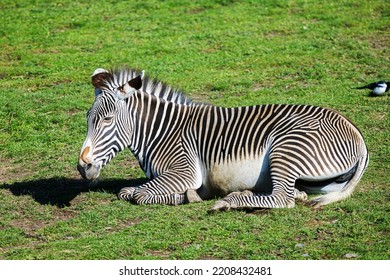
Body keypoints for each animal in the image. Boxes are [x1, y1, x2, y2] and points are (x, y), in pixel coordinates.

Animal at [77, 66, 370, 210]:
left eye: (107, 120)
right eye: (88, 118)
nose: (83, 167)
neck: (162, 131)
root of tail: (355, 131)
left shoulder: (185, 171)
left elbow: (136, 194)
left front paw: (188, 197)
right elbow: (128, 191)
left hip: (286, 147)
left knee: (281, 199)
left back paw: (229, 201)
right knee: (289, 193)